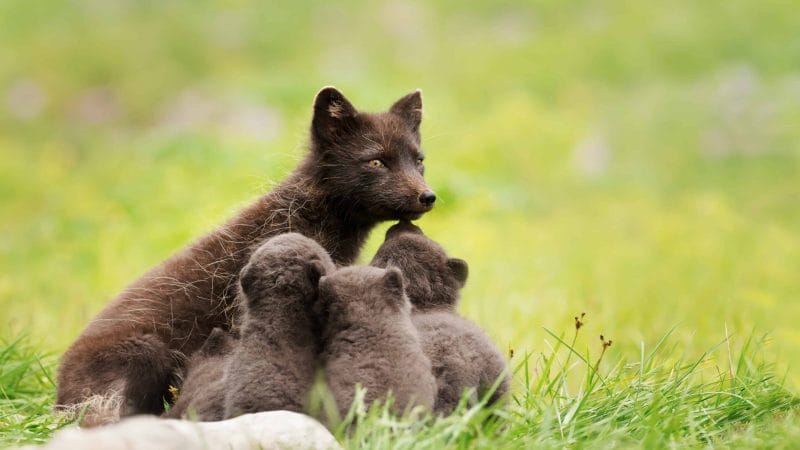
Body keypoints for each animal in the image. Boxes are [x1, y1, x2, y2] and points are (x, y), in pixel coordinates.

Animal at [57, 86, 438, 424]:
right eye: (376, 161)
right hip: (146, 352)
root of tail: (59, 391)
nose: (428, 196)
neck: (303, 217)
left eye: (419, 160)